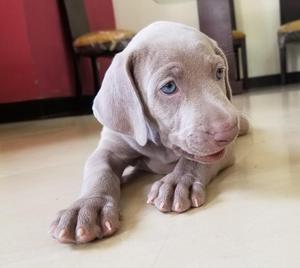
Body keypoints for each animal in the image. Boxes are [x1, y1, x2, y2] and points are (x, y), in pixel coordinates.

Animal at [50, 21, 250, 243]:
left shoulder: (223, 151)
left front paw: (178, 181)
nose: (229, 131)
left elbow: (195, 160)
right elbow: (99, 171)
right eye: (169, 87)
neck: (159, 143)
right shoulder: (109, 148)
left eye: (219, 72)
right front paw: (87, 207)